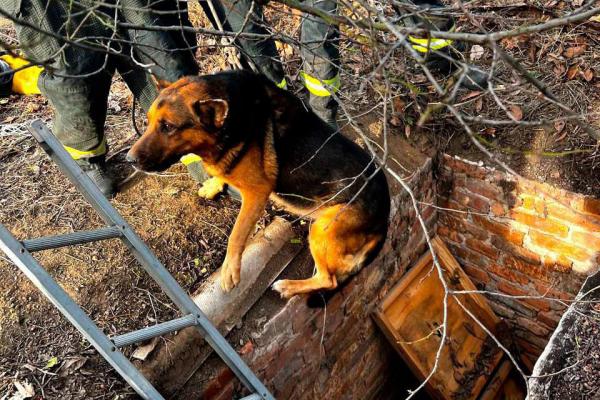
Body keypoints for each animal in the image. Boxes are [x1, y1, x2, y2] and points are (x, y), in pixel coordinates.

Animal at [126, 70, 390, 298]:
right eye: (148, 122)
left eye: (168, 127)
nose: (129, 160)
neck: (233, 117)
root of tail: (384, 220)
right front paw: (214, 183)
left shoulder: (257, 192)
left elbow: (236, 233)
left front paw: (229, 270)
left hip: (321, 229)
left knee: (329, 280)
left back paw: (289, 287)